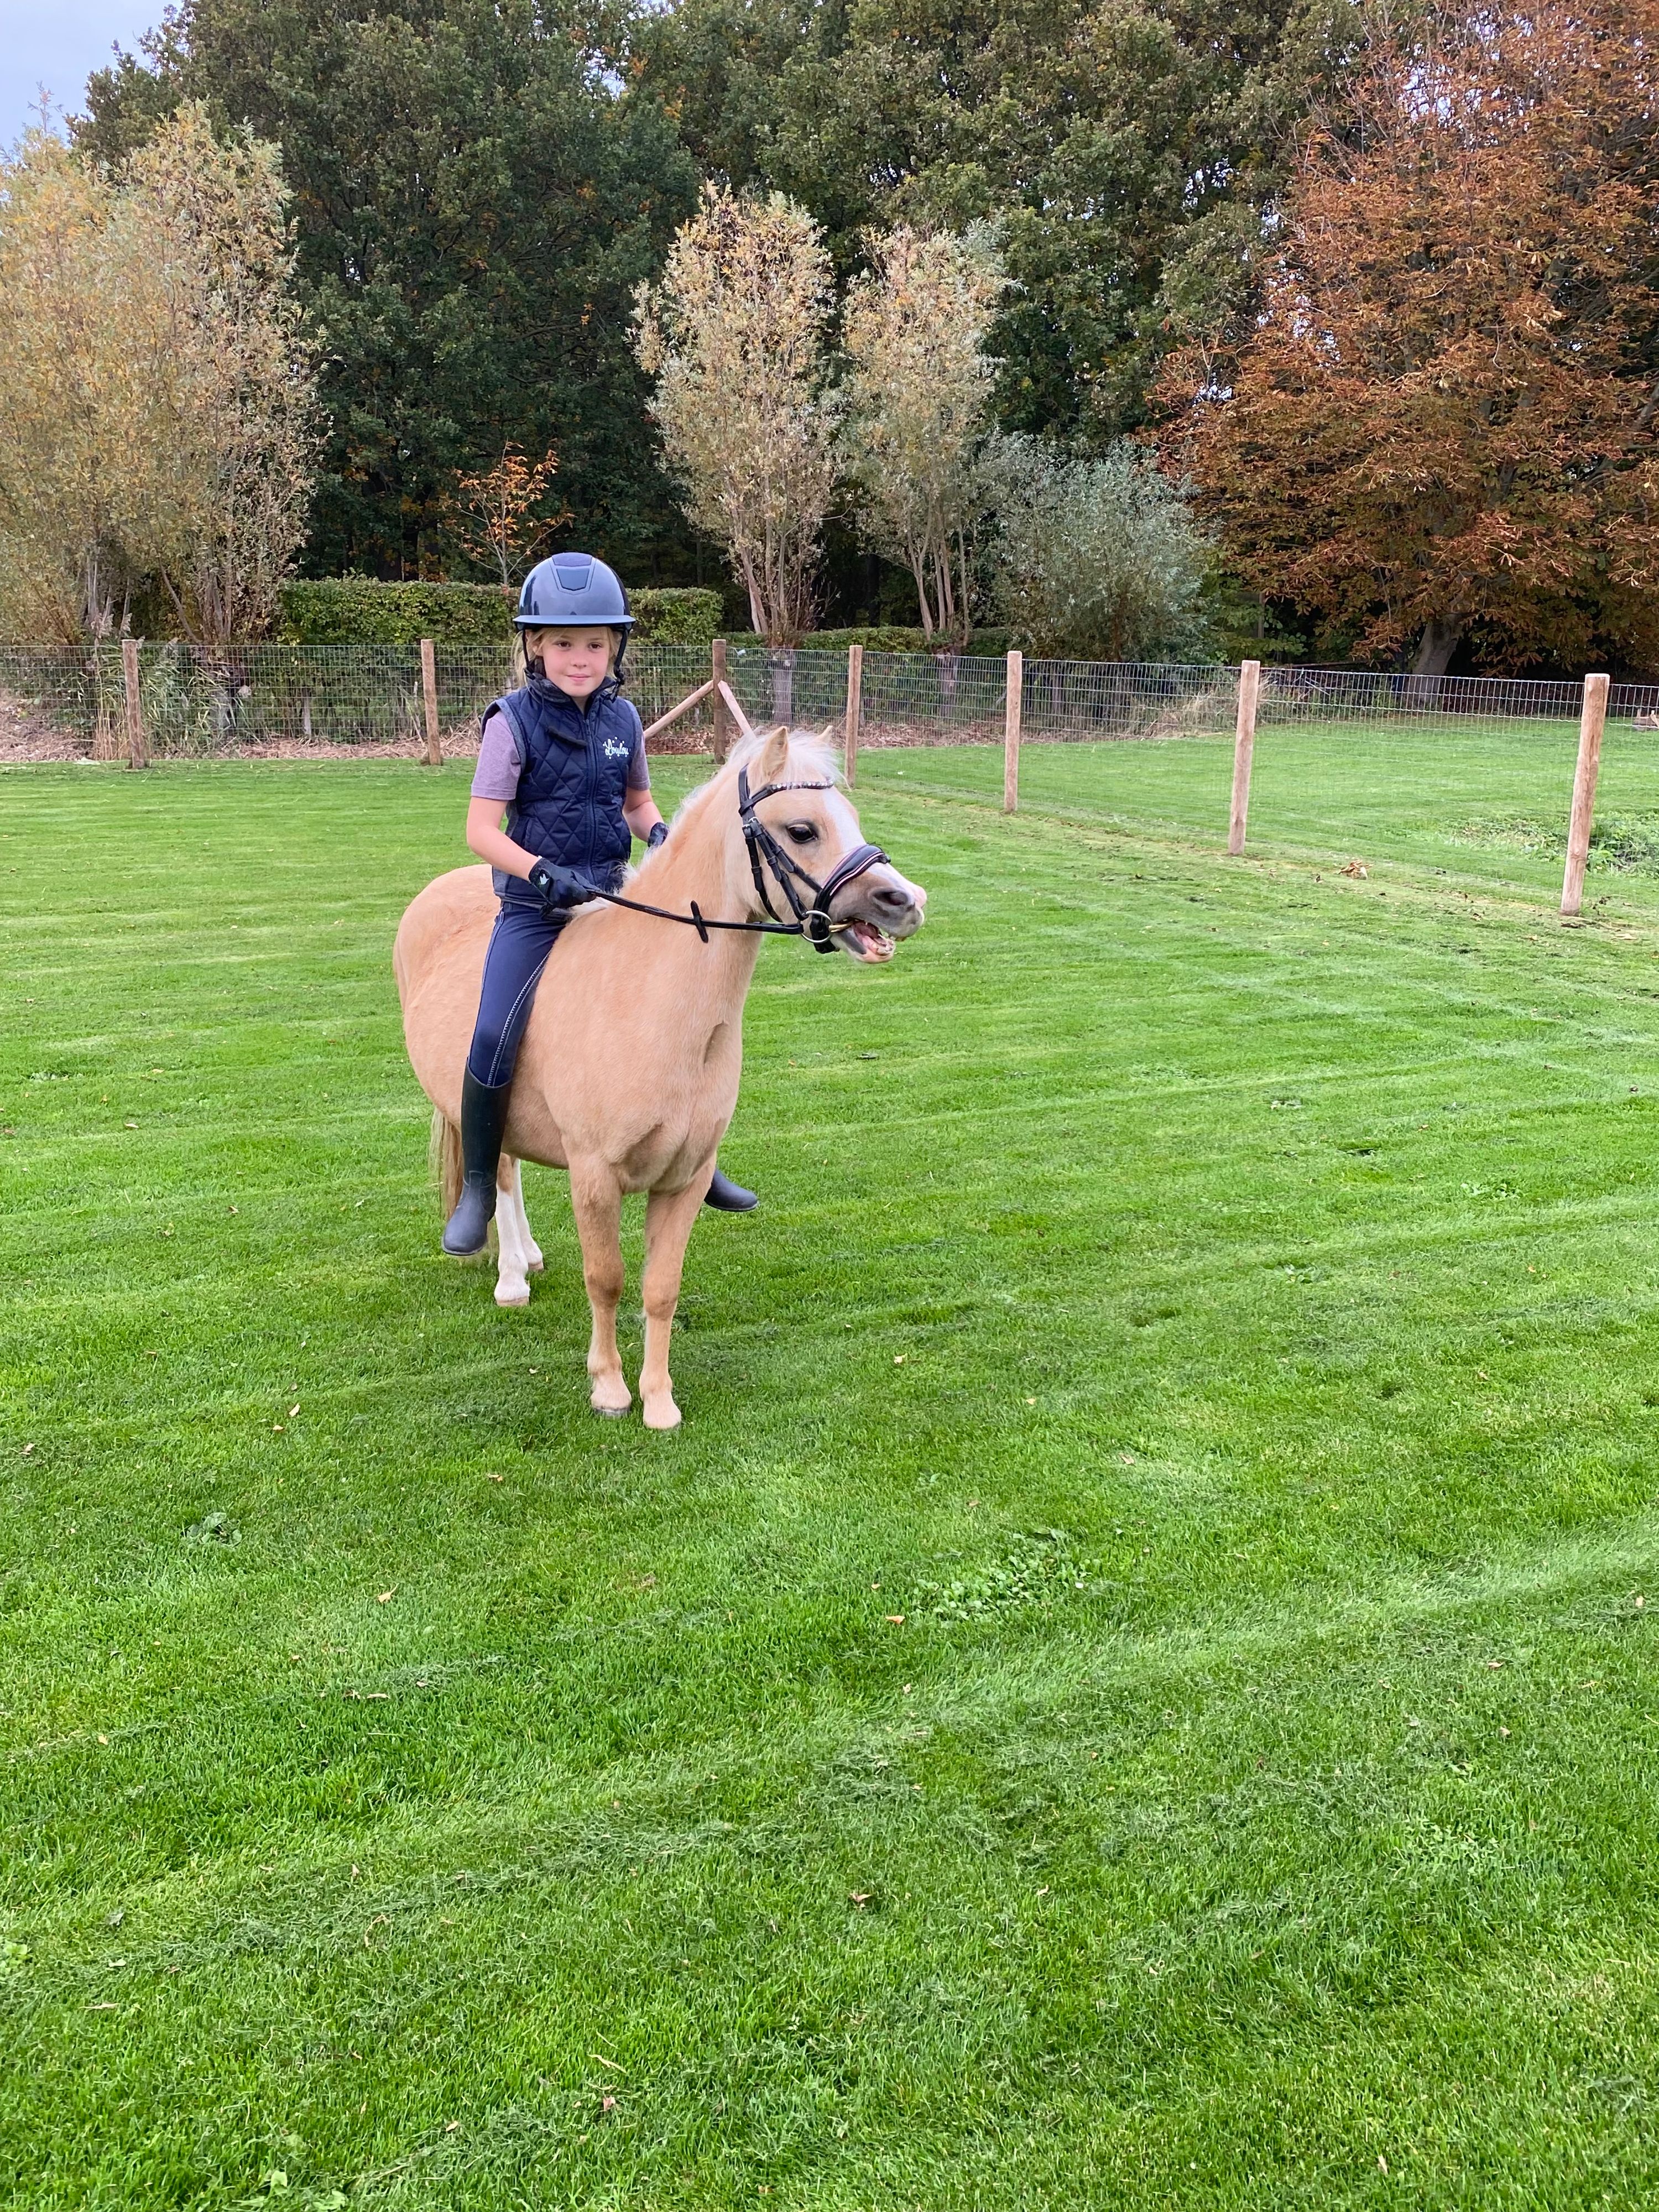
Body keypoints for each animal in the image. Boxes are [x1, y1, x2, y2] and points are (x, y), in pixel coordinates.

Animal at [393, 725, 927, 1429]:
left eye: (852, 816)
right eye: (803, 829)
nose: (906, 902)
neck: (652, 994)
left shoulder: (686, 1177)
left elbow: (660, 1287)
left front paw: (660, 1399)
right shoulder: (595, 1176)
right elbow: (607, 1278)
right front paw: (610, 1389)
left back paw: (529, 1255)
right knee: (499, 1172)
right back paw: (511, 1275)